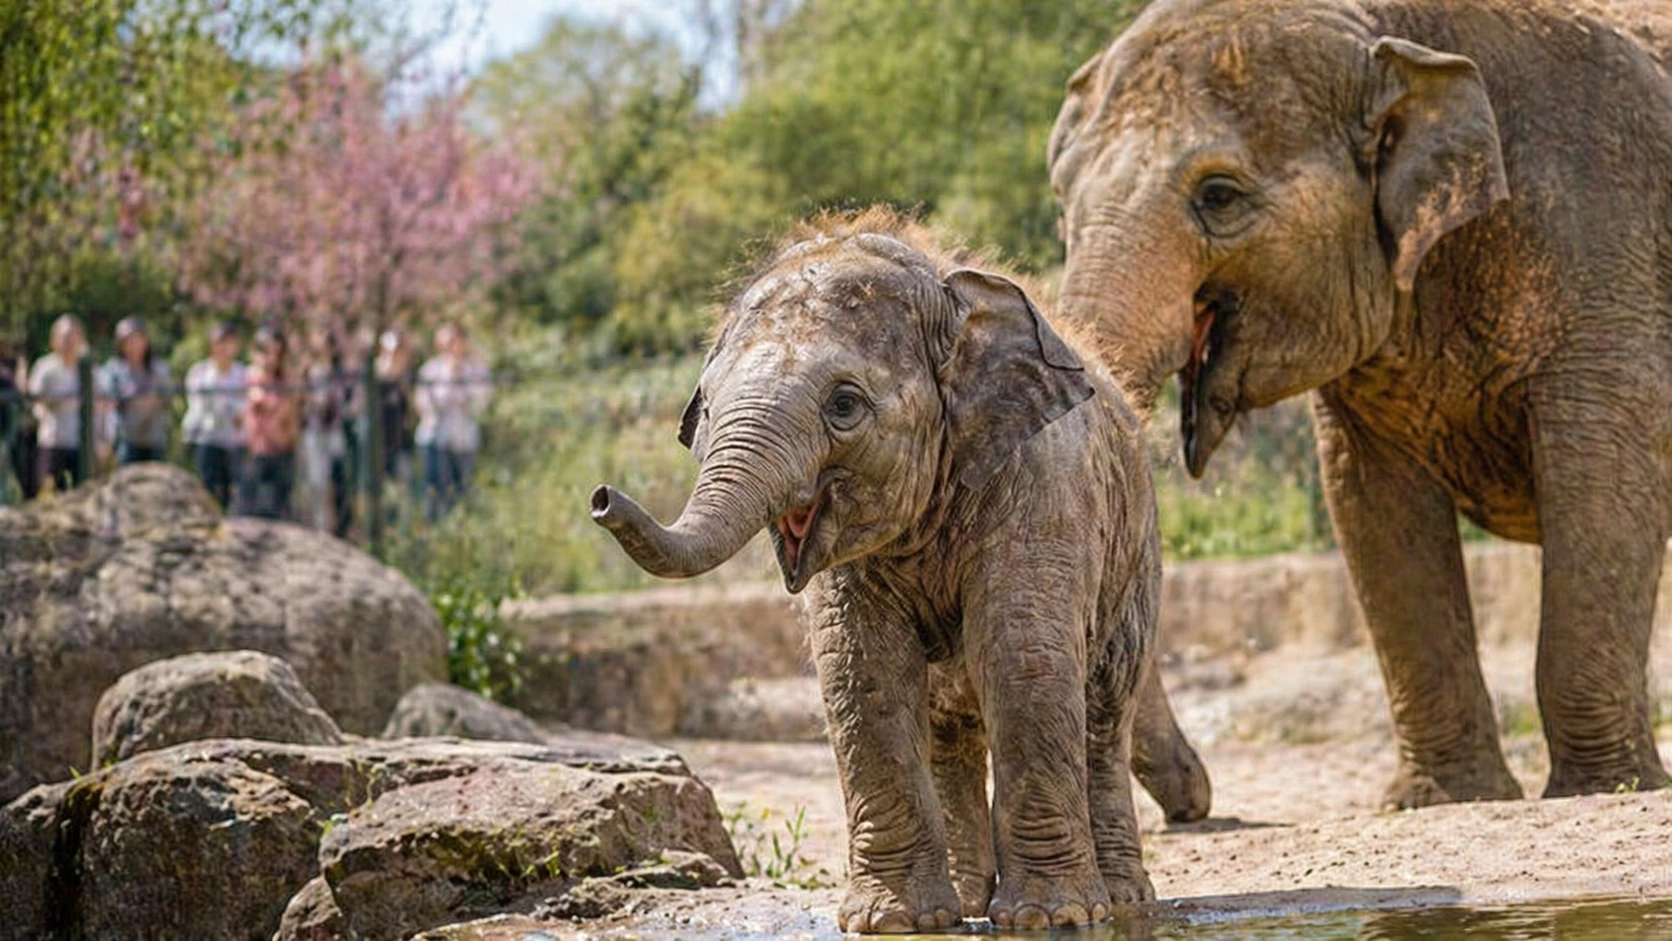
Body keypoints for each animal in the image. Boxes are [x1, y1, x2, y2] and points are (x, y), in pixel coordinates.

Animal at [591, 211, 1210, 931]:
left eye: (845, 405)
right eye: (708, 411)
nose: (601, 497)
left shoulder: (1044, 479)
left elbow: (1022, 653)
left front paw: (1049, 919)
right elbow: (865, 671)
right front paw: (894, 923)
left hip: (1136, 555)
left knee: (1105, 706)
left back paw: (1122, 900)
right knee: (949, 730)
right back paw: (967, 903)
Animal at [1048, 0, 1672, 808]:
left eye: (1218, 195)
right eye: (1061, 202)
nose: (1199, 799)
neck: (1394, 37)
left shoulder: (1606, 252)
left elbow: (1604, 473)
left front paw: (1602, 788)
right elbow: (1375, 508)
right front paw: (1443, 798)